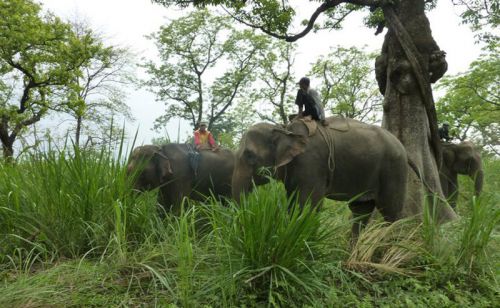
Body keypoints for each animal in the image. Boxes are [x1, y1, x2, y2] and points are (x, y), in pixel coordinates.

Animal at [231, 116, 410, 237]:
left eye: (249, 155)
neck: (284, 128)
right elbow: (292, 203)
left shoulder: (311, 162)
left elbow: (308, 205)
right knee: (361, 211)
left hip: (394, 169)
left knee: (391, 212)